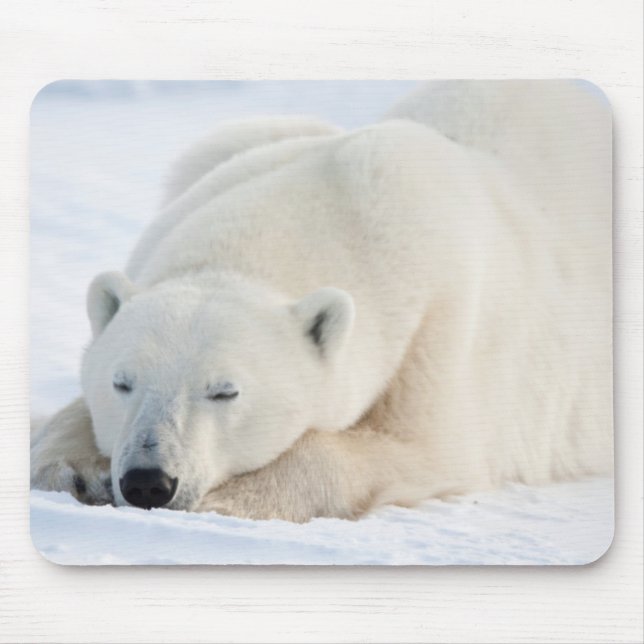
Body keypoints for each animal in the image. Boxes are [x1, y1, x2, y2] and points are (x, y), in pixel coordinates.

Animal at [30, 81, 612, 522]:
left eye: (225, 392)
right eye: (122, 383)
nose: (149, 481)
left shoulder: (444, 325)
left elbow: (423, 448)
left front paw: (231, 500)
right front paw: (70, 468)